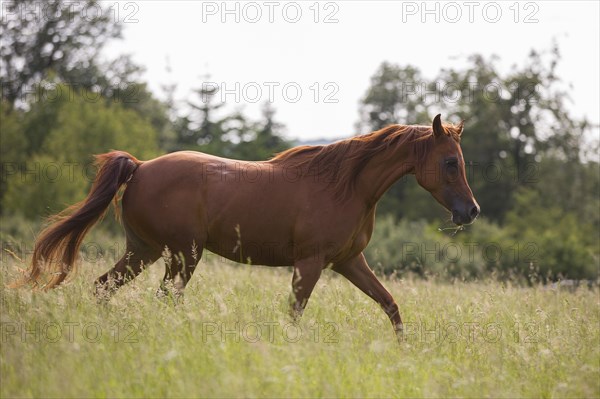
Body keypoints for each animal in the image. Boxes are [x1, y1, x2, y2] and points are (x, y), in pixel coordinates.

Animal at [14, 114, 478, 340]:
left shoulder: (349, 262)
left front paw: (404, 351)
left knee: (103, 287)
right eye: (449, 162)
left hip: (143, 251)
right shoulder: (310, 263)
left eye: (461, 160)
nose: (470, 212)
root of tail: (141, 167)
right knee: (164, 299)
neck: (345, 185)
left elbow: (390, 305)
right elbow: (295, 313)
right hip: (181, 255)